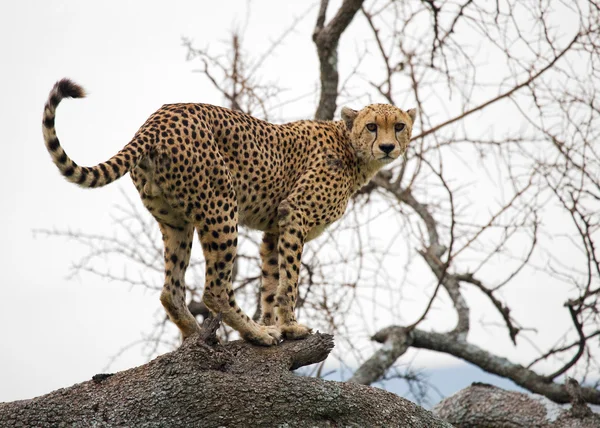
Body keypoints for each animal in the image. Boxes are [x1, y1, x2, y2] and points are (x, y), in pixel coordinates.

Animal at [43, 78, 418, 346]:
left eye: (399, 126)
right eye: (372, 126)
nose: (388, 147)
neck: (352, 150)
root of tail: (156, 119)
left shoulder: (274, 229)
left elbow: (270, 282)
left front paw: (274, 323)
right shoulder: (294, 214)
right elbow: (290, 280)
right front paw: (287, 327)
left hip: (175, 221)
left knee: (171, 290)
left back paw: (200, 337)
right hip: (221, 207)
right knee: (214, 288)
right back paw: (251, 334)